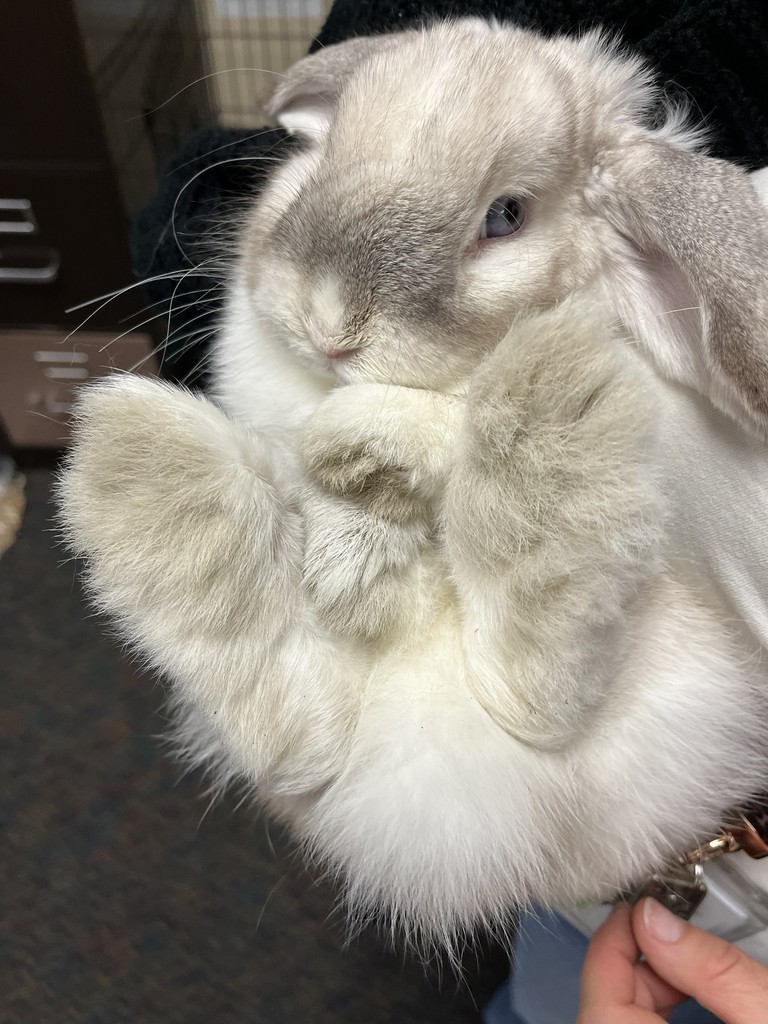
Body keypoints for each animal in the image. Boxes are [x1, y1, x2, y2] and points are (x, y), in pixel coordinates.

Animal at [58, 19, 768, 950]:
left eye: (506, 216)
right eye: (323, 161)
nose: (328, 321)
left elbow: (435, 424)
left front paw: (356, 464)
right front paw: (345, 540)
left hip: (674, 667)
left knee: (539, 690)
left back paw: (554, 385)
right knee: (294, 737)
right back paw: (138, 466)